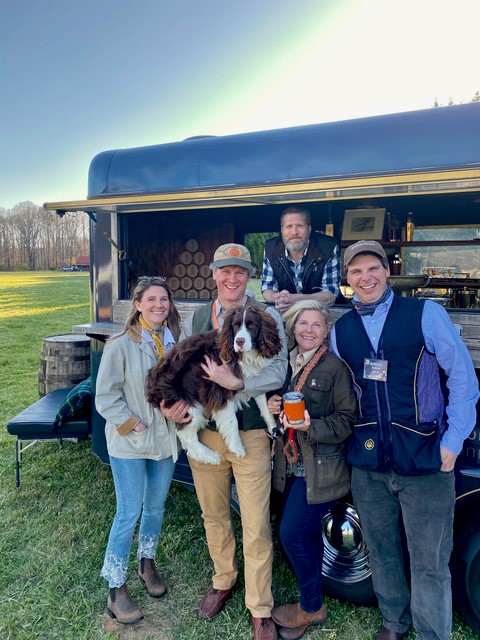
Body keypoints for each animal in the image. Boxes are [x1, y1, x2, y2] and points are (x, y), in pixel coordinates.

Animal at [146, 306, 282, 464]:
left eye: (252, 325)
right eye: (235, 326)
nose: (239, 341)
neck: (243, 356)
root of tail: (151, 383)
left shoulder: (252, 378)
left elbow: (263, 404)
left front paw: (273, 427)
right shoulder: (218, 390)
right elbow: (232, 421)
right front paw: (237, 447)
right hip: (189, 404)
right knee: (185, 434)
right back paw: (210, 456)